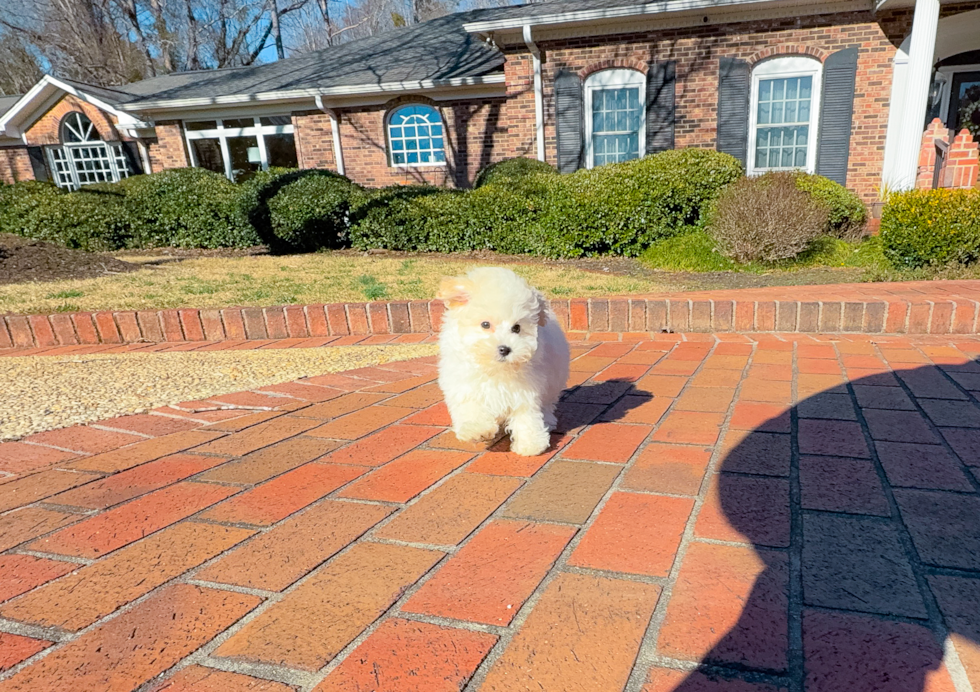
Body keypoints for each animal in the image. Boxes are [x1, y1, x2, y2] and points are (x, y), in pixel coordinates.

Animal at [434, 268, 568, 456]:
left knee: (548, 402)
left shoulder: (526, 387)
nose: (505, 349)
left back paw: (547, 421)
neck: (495, 369)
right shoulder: (464, 383)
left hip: (554, 377)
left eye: (517, 328)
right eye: (485, 324)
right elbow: (471, 405)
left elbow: (526, 413)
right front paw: (477, 429)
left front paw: (531, 443)